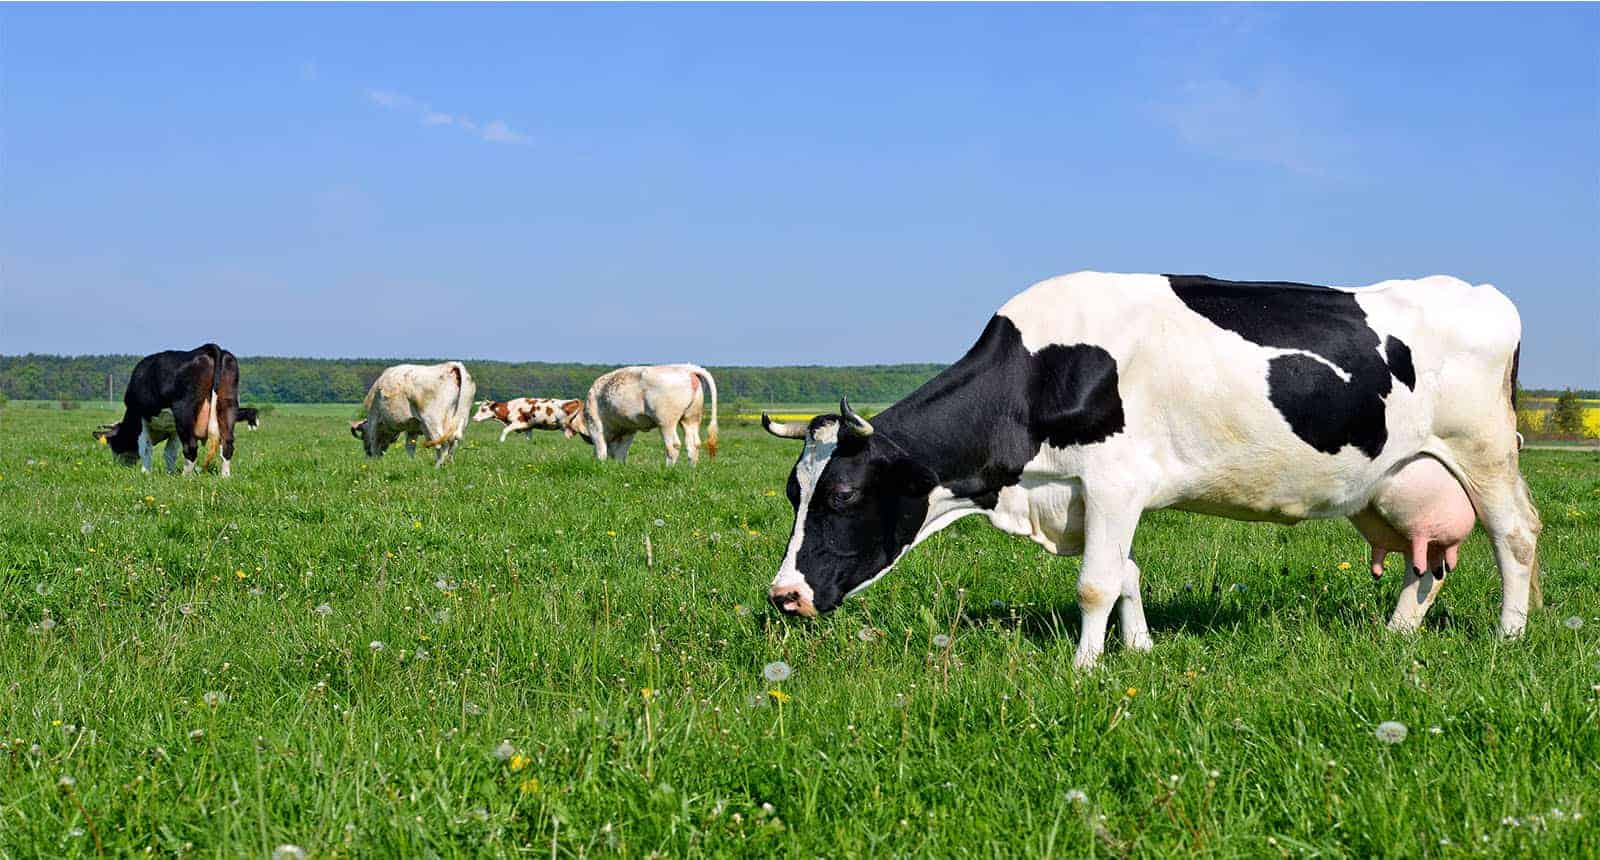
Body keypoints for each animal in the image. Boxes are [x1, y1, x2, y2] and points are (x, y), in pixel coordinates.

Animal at [95, 342, 240, 476]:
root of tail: (205, 349)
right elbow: (169, 452)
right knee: (227, 444)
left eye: (114, 444)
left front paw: (145, 472)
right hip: (228, 404)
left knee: (191, 446)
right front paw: (170, 473)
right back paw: (224, 476)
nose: (118, 465)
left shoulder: (140, 417)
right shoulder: (173, 428)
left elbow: (146, 448)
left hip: (184, 411)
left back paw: (185, 477)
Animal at [569, 362, 720, 466]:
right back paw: (691, 470)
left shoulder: (595, 425)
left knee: (673, 446)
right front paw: (618, 467)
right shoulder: (628, 429)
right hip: (691, 418)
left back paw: (668, 470)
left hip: (666, 422)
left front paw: (601, 465)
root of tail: (687, 368)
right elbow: (621, 452)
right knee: (693, 444)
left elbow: (601, 450)